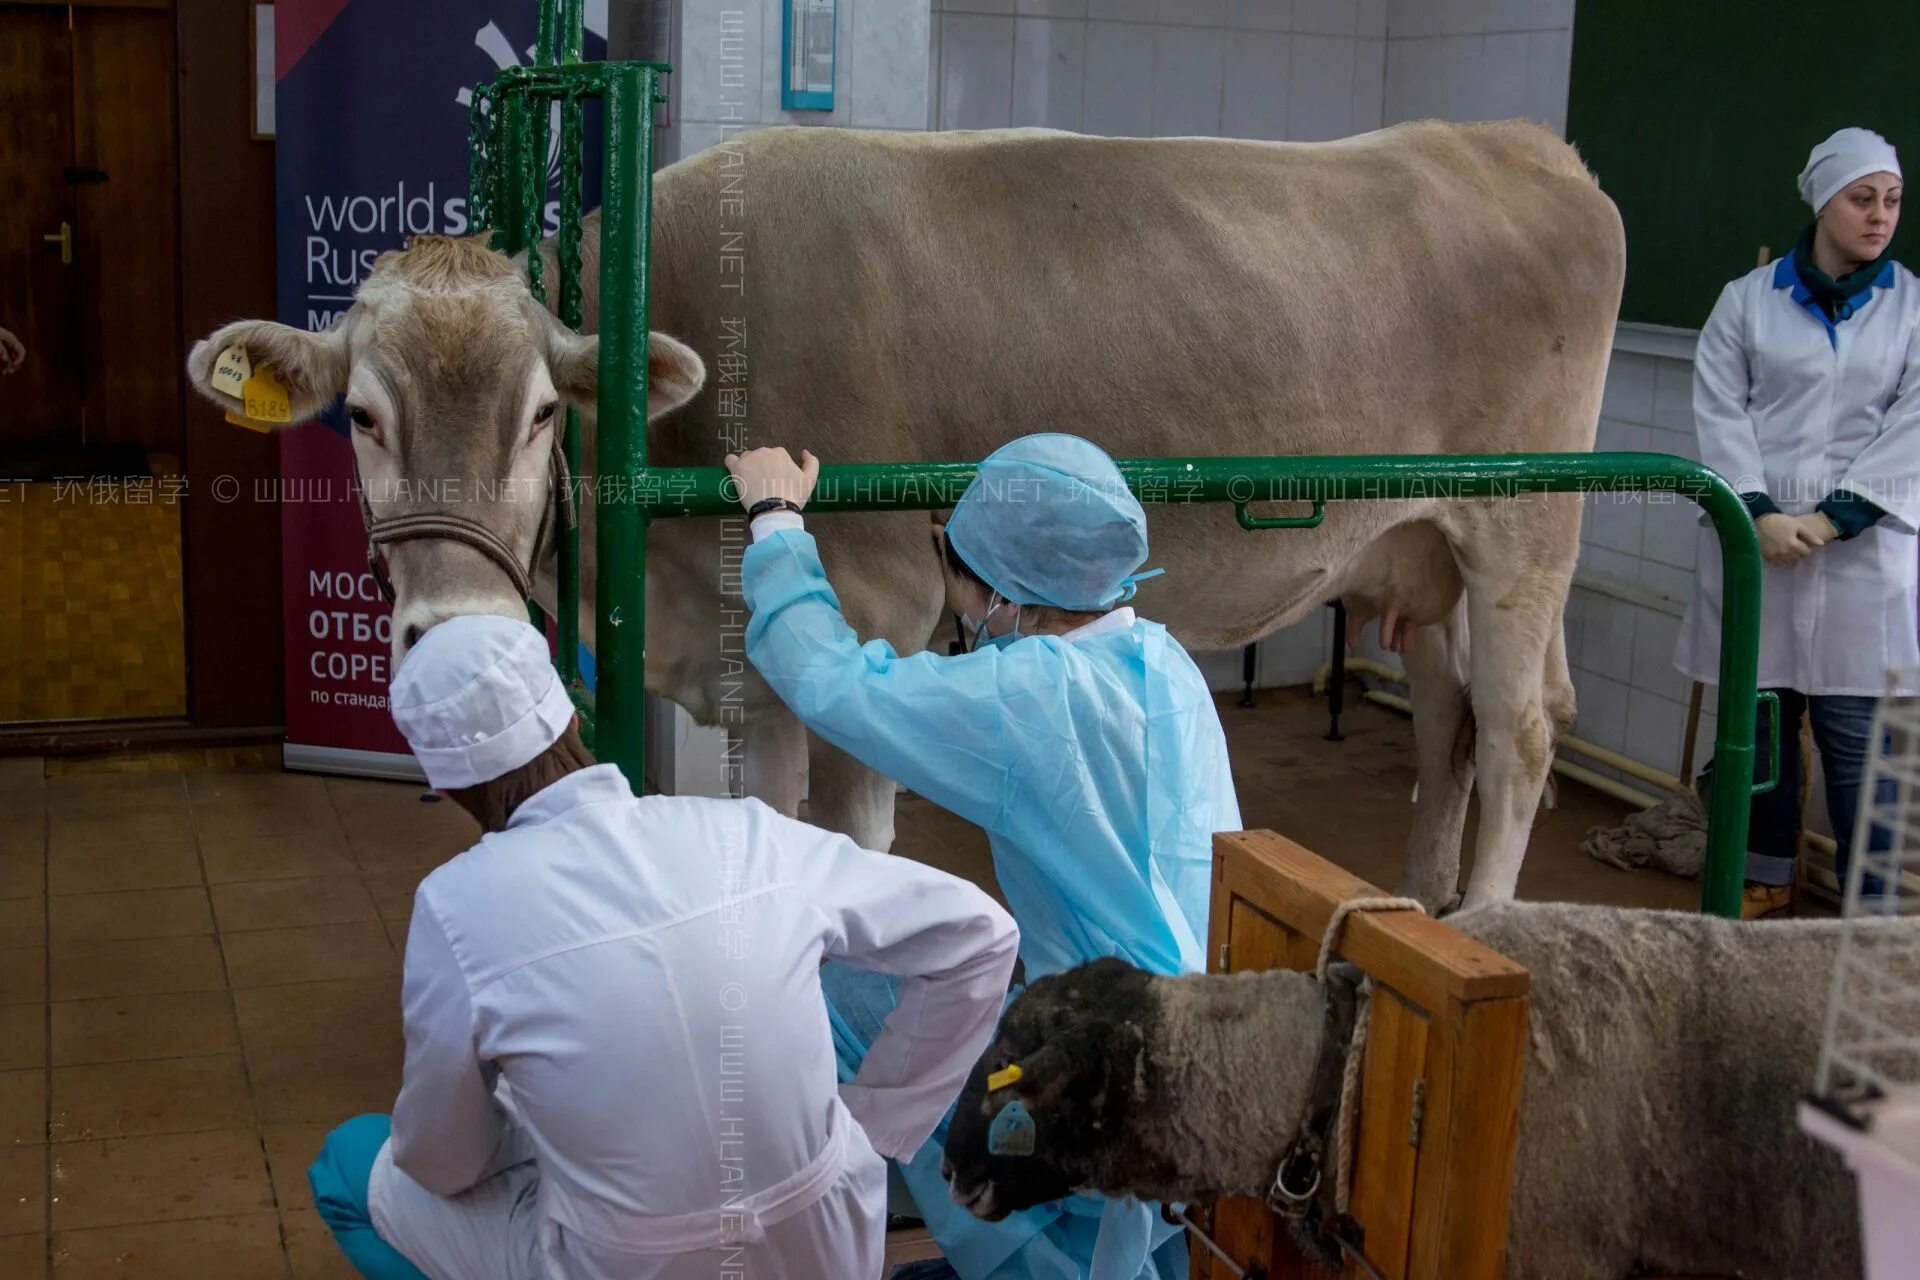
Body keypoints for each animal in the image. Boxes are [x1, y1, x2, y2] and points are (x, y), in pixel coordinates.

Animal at [183, 115, 1620, 905]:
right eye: (361, 416)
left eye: (542, 414)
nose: (449, 631)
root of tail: (1513, 141)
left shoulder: (874, 606)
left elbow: (857, 832)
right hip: (1426, 548)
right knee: (1446, 730)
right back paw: (1412, 908)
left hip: (1525, 533)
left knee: (1520, 730)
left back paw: (1477, 924)